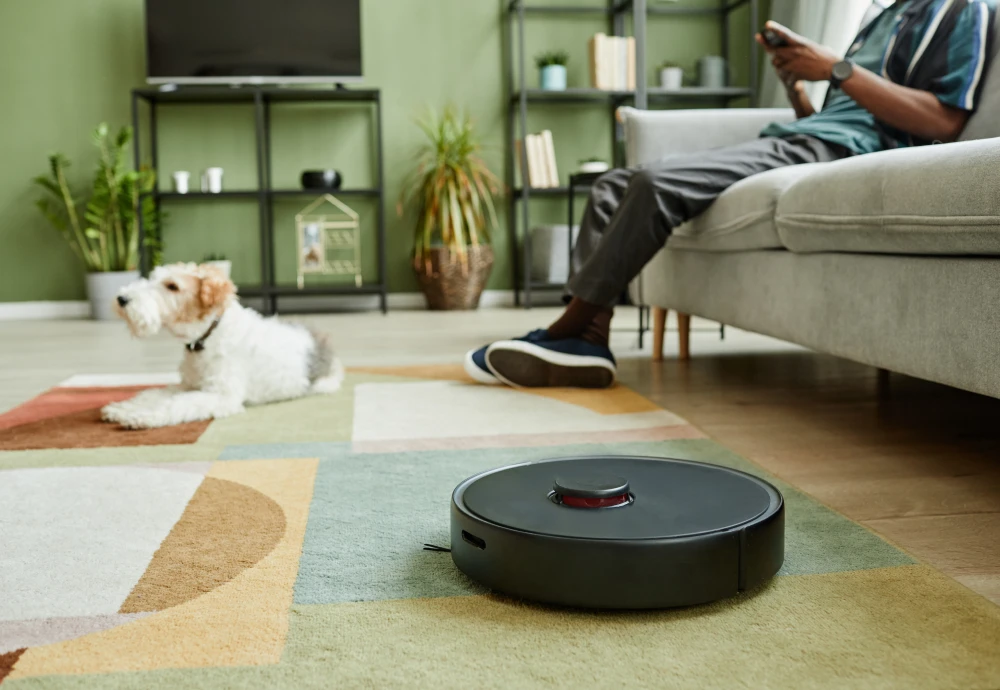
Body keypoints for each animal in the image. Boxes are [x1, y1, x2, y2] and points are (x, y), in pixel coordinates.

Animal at [102, 262, 344, 428]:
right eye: (153, 277)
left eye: (172, 286)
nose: (122, 299)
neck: (209, 335)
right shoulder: (187, 385)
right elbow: (153, 394)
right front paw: (121, 409)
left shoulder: (222, 395)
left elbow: (175, 403)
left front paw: (140, 416)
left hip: (324, 385)